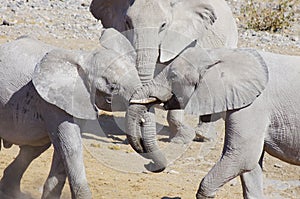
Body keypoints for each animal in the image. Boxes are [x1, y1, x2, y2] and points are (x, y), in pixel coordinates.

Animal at [0, 27, 142, 198]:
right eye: (113, 87)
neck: (84, 58)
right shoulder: (52, 103)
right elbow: (71, 147)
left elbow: (63, 149)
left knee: (35, 148)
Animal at [126, 45, 300, 198]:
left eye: (173, 76)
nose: (148, 166)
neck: (224, 54)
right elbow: (251, 167)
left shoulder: (254, 106)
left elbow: (242, 157)